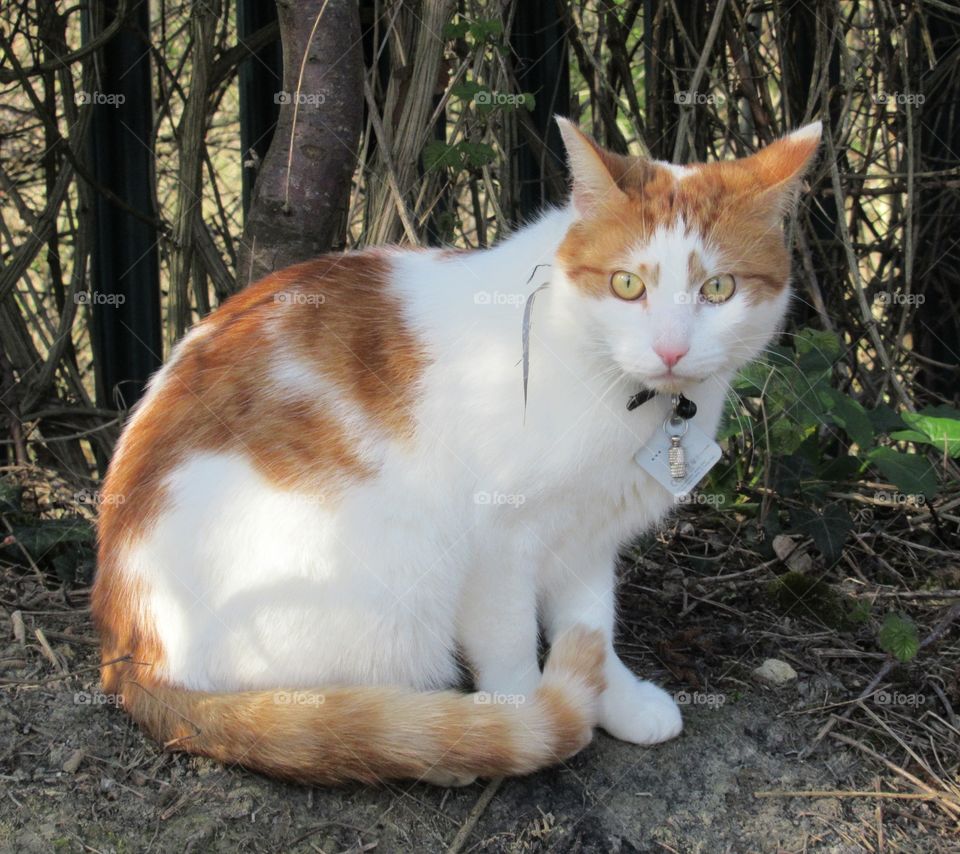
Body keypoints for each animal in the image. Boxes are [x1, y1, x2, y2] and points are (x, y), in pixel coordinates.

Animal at [94, 118, 820, 788]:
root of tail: (129, 654)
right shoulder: (498, 543)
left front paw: (615, 696)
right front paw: (528, 718)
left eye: (718, 289)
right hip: (391, 566)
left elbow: (590, 620)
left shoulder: (588, 535)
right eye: (626, 286)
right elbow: (513, 649)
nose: (671, 349)